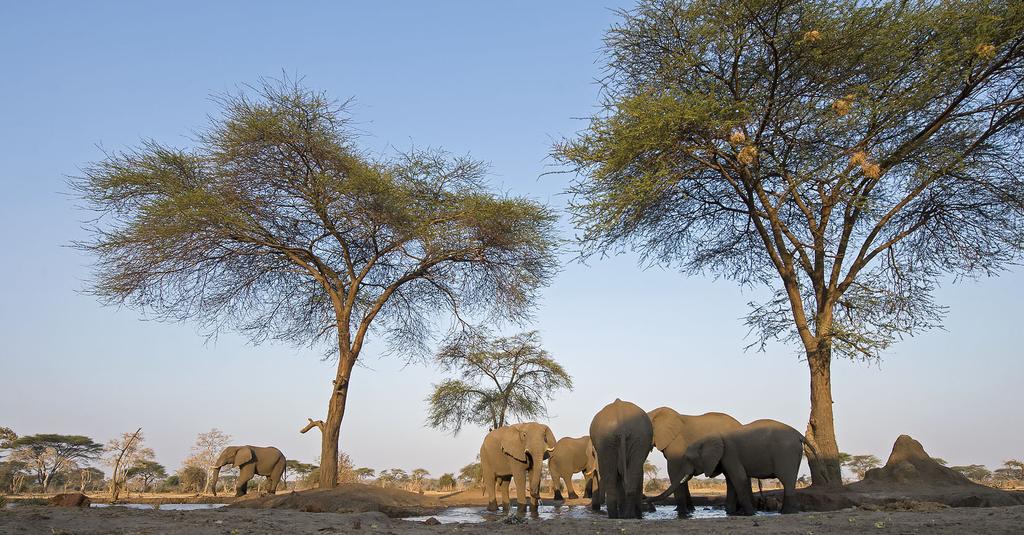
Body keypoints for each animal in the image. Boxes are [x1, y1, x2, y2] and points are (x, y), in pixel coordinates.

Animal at [647, 418, 806, 514]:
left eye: (688, 458)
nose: (646, 500)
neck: (711, 438)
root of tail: (799, 435)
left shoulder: (730, 454)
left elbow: (738, 478)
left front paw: (750, 514)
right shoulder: (726, 457)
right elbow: (731, 480)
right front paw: (730, 512)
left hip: (786, 453)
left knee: (787, 481)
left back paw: (786, 512)